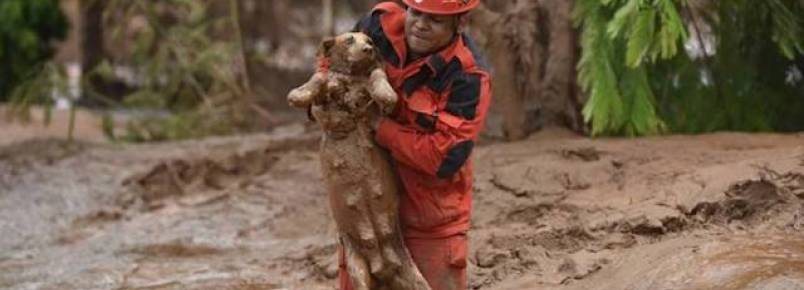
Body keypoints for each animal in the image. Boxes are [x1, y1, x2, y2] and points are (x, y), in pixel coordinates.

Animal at [286, 32, 430, 290]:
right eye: (349, 40)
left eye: (370, 41)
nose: (368, 49)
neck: (351, 76)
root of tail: (384, 270)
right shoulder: (327, 89)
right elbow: (319, 77)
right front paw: (299, 94)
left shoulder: (373, 80)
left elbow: (377, 75)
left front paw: (386, 95)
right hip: (356, 268)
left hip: (414, 276)